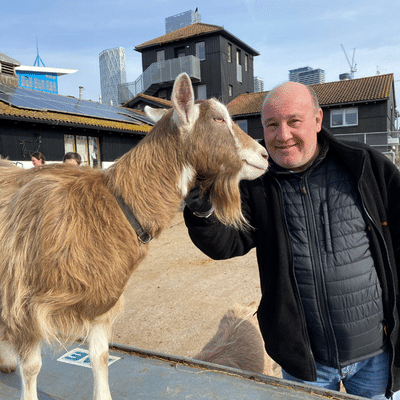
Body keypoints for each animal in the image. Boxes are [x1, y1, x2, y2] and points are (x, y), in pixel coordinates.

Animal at [0, 72, 268, 400]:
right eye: (218, 119)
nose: (264, 155)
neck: (113, 207)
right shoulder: (24, 305)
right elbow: (32, 368)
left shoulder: (103, 298)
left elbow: (100, 357)